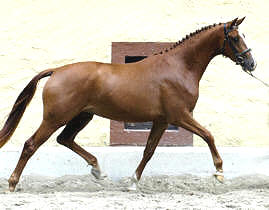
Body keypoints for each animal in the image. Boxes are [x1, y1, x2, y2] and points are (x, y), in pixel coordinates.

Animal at [0, 18, 255, 192]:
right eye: (234, 37)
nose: (251, 63)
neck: (179, 66)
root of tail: (56, 71)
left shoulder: (162, 121)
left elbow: (149, 151)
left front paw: (132, 182)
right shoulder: (180, 116)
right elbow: (208, 135)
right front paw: (219, 172)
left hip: (82, 116)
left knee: (65, 139)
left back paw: (98, 171)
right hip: (56, 118)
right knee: (31, 144)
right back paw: (13, 183)